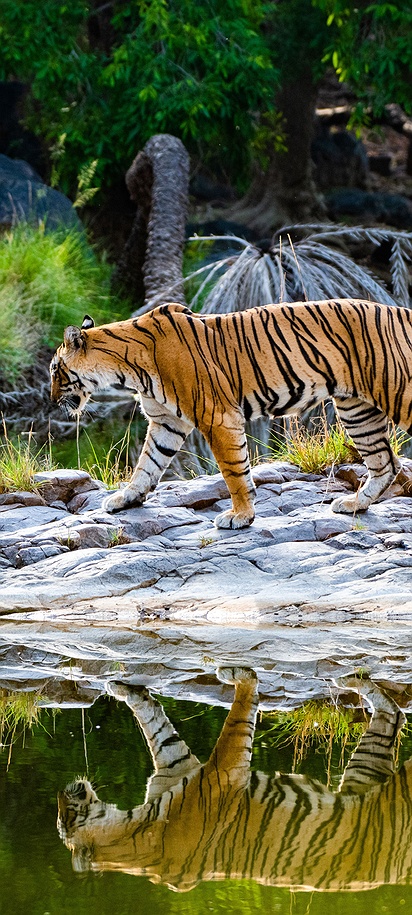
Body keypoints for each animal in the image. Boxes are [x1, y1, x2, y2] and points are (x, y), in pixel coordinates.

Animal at [50, 299, 412, 529]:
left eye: (55, 370)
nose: (52, 400)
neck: (127, 368)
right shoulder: (167, 422)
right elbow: (147, 464)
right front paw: (125, 499)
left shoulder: (217, 416)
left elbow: (234, 473)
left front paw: (240, 516)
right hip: (356, 409)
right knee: (385, 463)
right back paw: (354, 504)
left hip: (397, 395)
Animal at [57, 668, 411, 891]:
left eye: (63, 815)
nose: (64, 791)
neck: (130, 828)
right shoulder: (197, 769)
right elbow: (158, 725)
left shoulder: (212, 773)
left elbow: (227, 718)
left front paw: (238, 675)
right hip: (368, 769)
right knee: (393, 713)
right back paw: (353, 679)